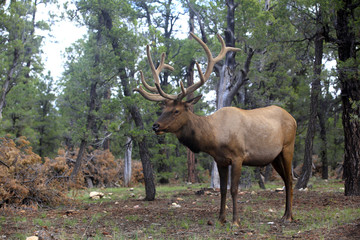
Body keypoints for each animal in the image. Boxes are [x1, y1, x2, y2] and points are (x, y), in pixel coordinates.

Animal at [134, 32, 296, 226]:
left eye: (176, 110)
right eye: (163, 109)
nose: (155, 126)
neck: (213, 139)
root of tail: (293, 118)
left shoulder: (238, 156)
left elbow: (234, 189)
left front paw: (235, 220)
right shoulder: (220, 160)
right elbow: (223, 190)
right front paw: (221, 218)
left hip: (288, 147)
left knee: (290, 180)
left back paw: (289, 216)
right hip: (274, 157)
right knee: (286, 180)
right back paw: (285, 215)